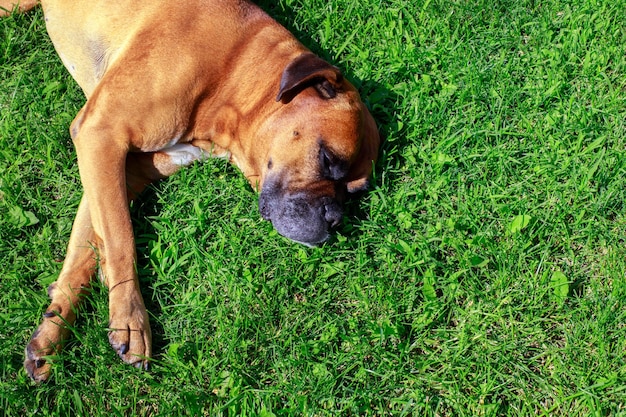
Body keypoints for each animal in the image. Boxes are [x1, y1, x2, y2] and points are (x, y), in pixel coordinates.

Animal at [2, 0, 378, 380]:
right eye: (328, 160)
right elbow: (121, 239)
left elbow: (86, 251)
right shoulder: (102, 135)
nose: (334, 219)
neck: (231, 74)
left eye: (353, 192)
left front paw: (51, 334)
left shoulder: (121, 168)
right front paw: (130, 320)